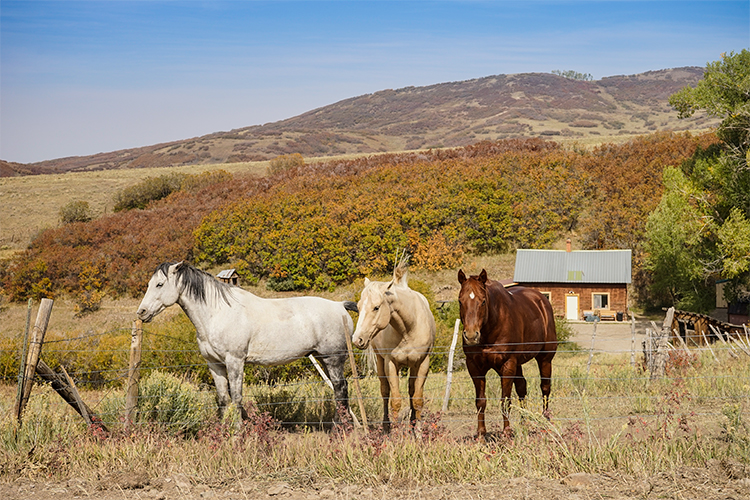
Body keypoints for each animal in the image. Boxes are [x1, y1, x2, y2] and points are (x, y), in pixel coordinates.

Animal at [137, 264, 360, 420]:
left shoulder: (235, 361)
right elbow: (223, 399)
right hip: (322, 358)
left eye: (159, 284)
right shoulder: (214, 364)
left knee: (340, 389)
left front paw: (238, 434)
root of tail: (340, 306)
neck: (218, 313)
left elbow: (236, 398)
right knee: (339, 389)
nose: (142, 312)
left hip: (333, 359)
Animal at [354, 256, 438, 432]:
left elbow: (417, 399)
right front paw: (396, 434)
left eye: (376, 307)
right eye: (358, 307)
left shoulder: (423, 363)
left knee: (412, 390)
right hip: (380, 361)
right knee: (385, 392)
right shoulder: (390, 363)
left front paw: (418, 432)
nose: (357, 339)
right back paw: (386, 427)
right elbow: (396, 401)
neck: (408, 328)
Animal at [458, 270, 560, 438]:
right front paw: (481, 434)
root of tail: (541, 300)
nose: (471, 336)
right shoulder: (474, 366)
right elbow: (480, 401)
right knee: (522, 387)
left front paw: (506, 432)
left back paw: (546, 421)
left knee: (545, 387)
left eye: (483, 301)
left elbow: (505, 400)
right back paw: (524, 422)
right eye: (460, 301)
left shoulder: (507, 364)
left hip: (545, 358)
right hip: (518, 364)